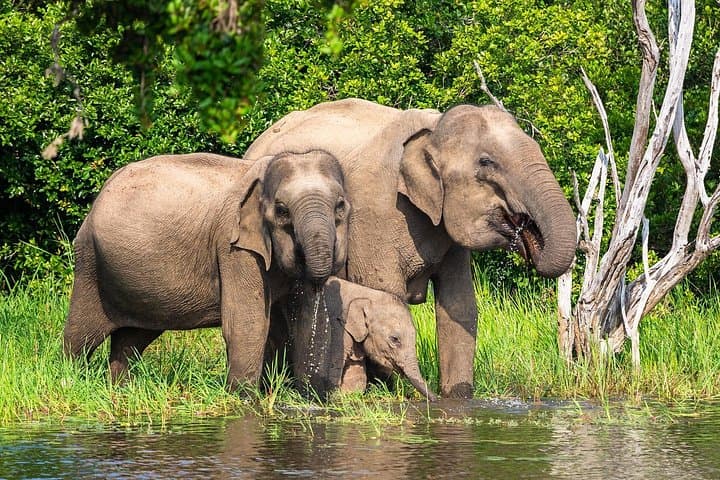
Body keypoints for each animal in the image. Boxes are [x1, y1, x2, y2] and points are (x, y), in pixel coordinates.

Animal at [63, 150, 350, 389]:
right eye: (281, 210)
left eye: (340, 207)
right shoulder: (232, 247)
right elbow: (247, 323)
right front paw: (244, 399)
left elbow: (293, 322)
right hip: (90, 263)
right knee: (81, 337)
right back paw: (72, 381)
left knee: (131, 339)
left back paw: (122, 388)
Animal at [245, 98, 577, 397]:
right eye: (486, 163)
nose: (525, 232)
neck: (433, 129)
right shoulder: (375, 214)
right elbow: (385, 291)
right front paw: (389, 391)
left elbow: (460, 307)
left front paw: (458, 398)